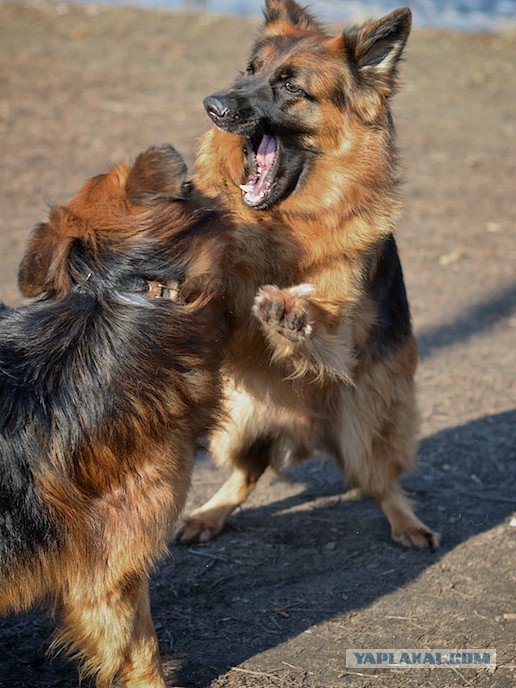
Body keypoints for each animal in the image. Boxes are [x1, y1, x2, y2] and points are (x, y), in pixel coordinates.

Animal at [178, 0, 440, 548]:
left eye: (291, 87)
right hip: (238, 415)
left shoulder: (343, 333)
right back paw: (208, 514)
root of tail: (307, 432)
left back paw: (407, 522)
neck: (289, 220)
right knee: (246, 472)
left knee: (381, 482)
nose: (213, 105)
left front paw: (289, 314)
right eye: (250, 70)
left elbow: (319, 322)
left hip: (370, 416)